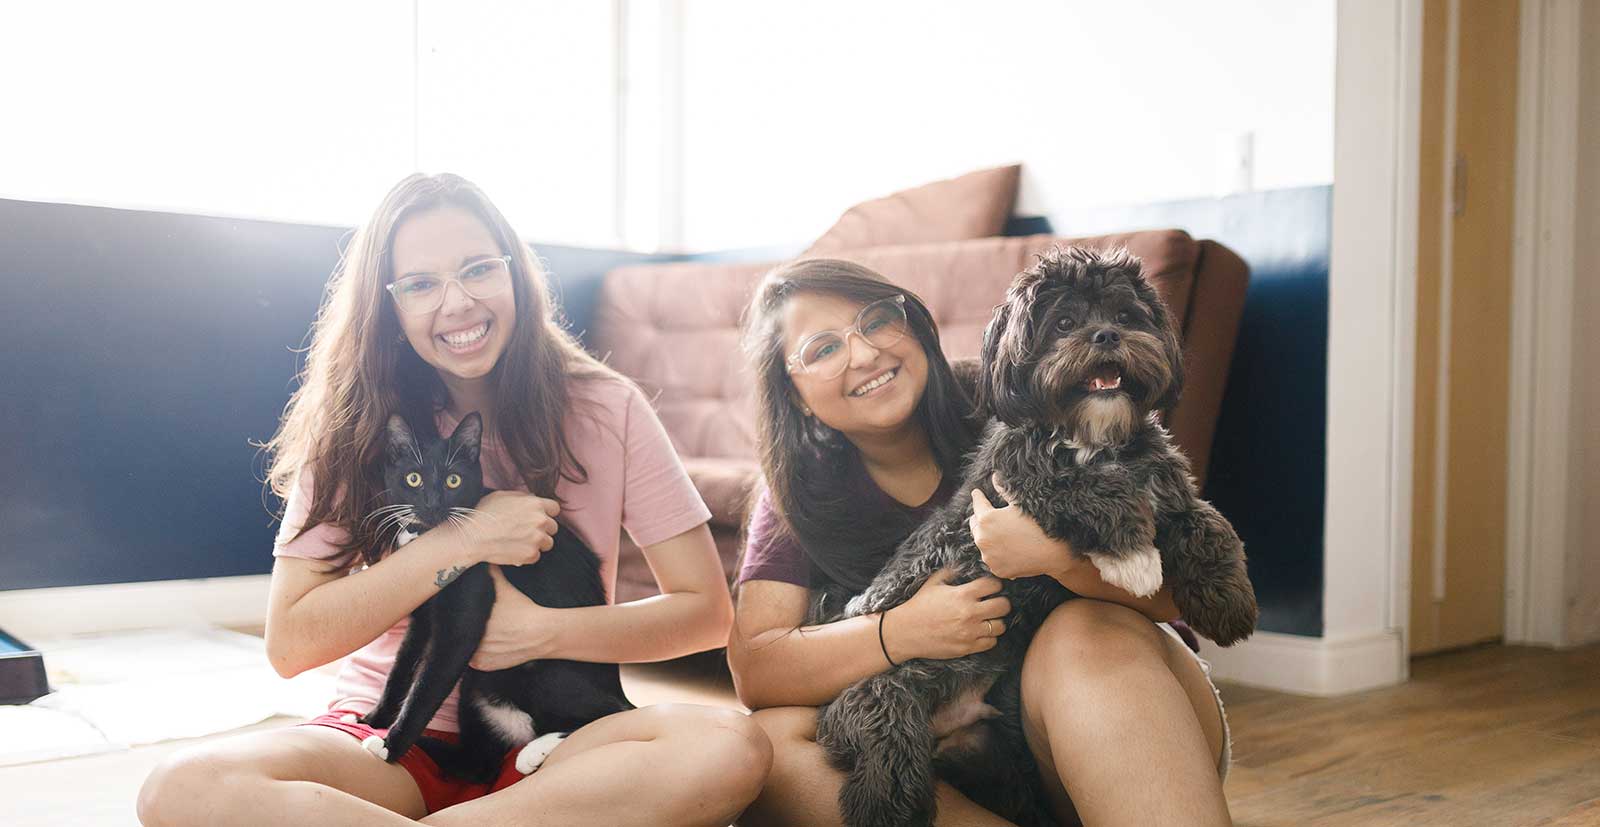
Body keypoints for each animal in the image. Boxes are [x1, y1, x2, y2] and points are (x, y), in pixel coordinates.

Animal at [360, 409, 633, 780]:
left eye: (454, 481)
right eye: (413, 478)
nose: (432, 505)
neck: (429, 538)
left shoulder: (468, 607)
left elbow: (427, 686)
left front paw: (391, 747)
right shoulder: (421, 615)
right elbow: (401, 668)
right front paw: (375, 718)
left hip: (543, 672)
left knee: (613, 711)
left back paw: (534, 751)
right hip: (474, 691)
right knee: (478, 765)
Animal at [812, 246, 1260, 825]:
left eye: (1125, 316)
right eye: (1065, 323)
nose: (1106, 336)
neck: (1092, 436)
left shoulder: (1169, 490)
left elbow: (1212, 526)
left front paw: (1230, 603)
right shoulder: (1020, 477)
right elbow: (1085, 489)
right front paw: (1133, 557)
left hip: (1000, 755)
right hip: (885, 697)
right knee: (884, 760)